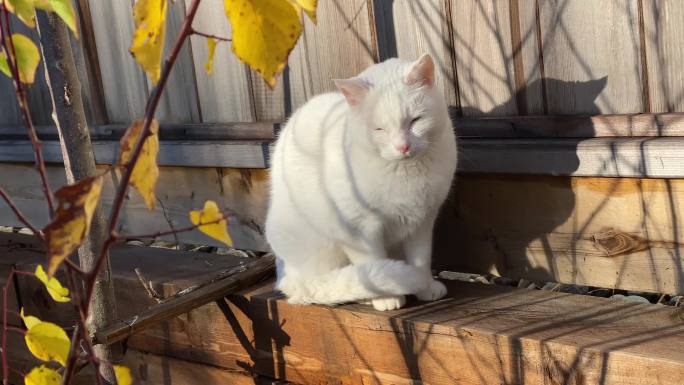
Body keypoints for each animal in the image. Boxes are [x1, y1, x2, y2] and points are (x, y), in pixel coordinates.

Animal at [264, 54, 456, 310]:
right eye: (379, 129)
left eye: (415, 120)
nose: (402, 146)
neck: (405, 172)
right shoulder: (358, 228)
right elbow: (372, 263)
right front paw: (387, 296)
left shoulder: (423, 221)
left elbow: (421, 259)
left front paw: (425, 286)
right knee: (317, 286)